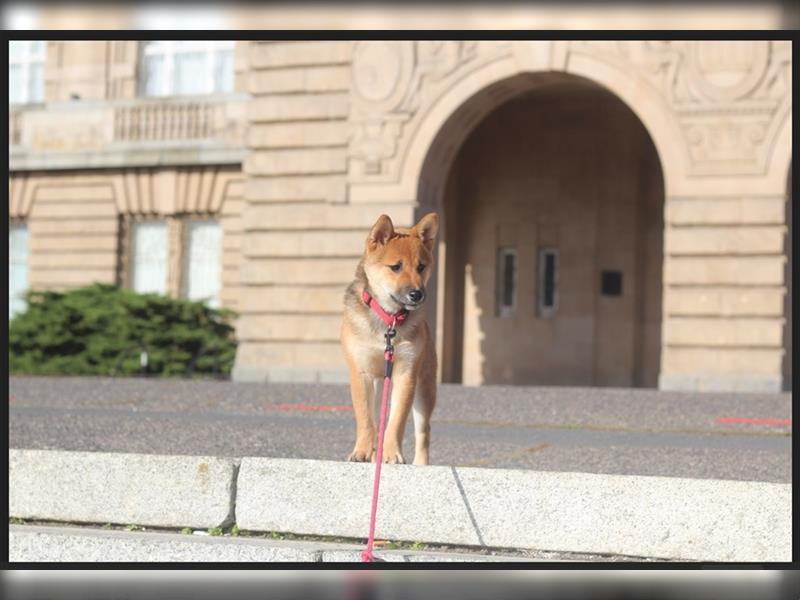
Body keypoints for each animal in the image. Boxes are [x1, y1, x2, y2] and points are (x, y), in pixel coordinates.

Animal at [340, 213, 440, 466]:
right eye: (396, 267)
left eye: (421, 267)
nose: (417, 294)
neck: (388, 321)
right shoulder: (361, 372)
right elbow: (366, 420)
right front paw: (361, 452)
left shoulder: (407, 373)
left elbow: (396, 423)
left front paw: (392, 454)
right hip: (378, 385)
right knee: (377, 423)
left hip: (425, 388)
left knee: (423, 430)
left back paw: (420, 463)